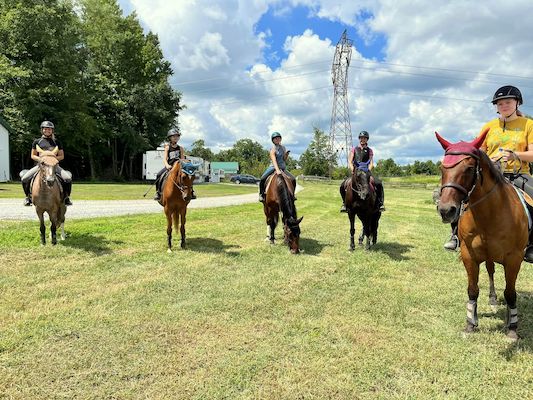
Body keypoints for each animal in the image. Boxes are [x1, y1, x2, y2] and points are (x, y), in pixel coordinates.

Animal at [434, 129, 524, 340]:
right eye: (442, 168)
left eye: (468, 168)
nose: (446, 210)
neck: (490, 214)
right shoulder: (469, 255)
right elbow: (472, 290)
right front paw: (470, 323)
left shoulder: (514, 258)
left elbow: (511, 292)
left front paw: (512, 327)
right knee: (490, 271)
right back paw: (492, 299)